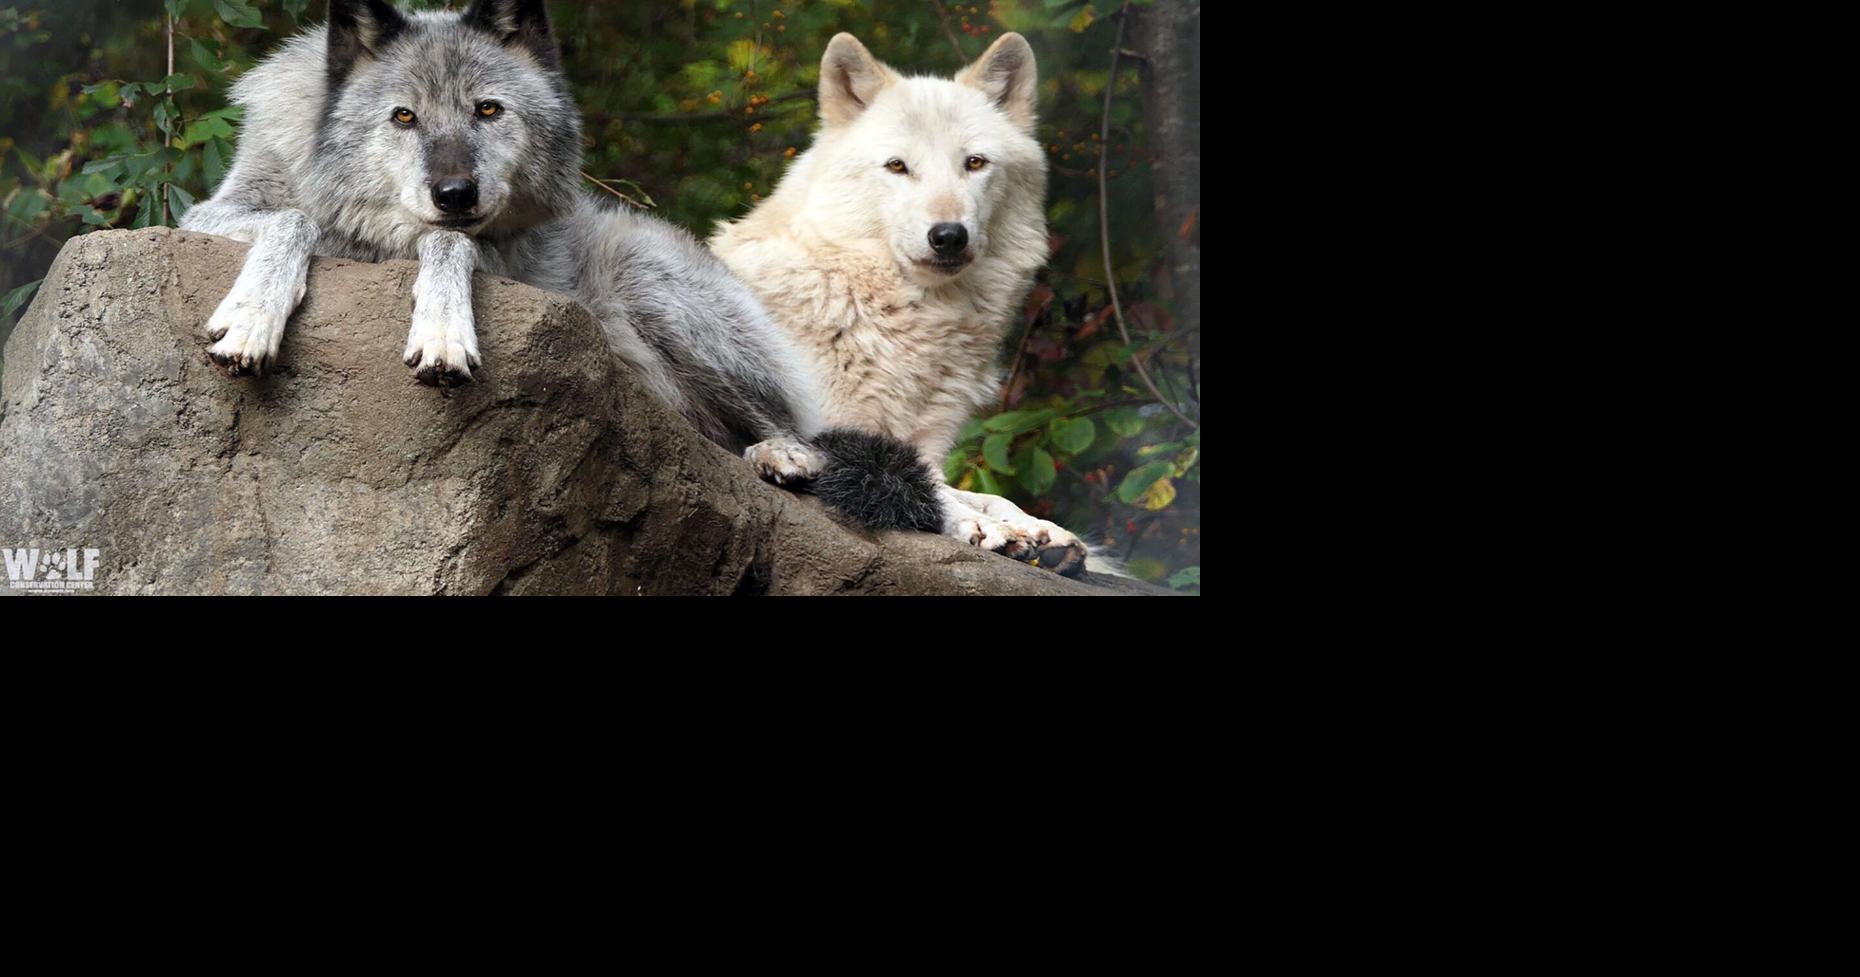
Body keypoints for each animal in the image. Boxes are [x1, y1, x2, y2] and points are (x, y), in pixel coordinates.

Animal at [178, 0, 943, 534]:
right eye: (402, 117)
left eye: (489, 110)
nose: (454, 194)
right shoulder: (210, 213)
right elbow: (294, 219)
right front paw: (252, 318)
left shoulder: (487, 248)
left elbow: (445, 245)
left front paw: (444, 333)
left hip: (647, 282)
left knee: (791, 429)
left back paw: (784, 457)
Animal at [709, 33, 1096, 576]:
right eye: (897, 166)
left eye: (974, 163)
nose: (948, 236)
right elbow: (926, 487)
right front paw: (988, 530)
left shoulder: (927, 445)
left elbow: (981, 493)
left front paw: (1041, 529)